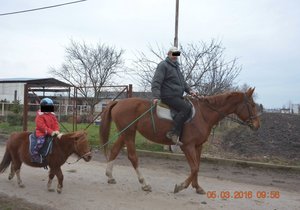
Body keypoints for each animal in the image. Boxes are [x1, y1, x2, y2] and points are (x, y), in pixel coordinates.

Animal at [100, 87, 260, 194]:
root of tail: (118, 102)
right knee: (132, 156)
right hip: (128, 133)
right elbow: (194, 167)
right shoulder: (187, 146)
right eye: (252, 105)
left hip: (124, 133)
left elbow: (197, 166)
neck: (203, 114)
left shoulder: (198, 146)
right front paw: (181, 186)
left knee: (114, 151)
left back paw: (110, 176)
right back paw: (144, 184)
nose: (257, 125)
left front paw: (197, 187)